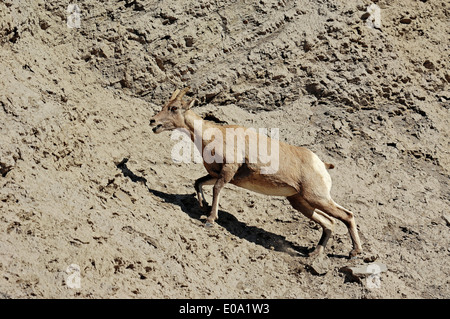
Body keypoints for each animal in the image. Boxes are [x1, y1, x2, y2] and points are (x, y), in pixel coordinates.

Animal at [150, 87, 362, 258]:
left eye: (174, 108)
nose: (153, 121)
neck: (213, 136)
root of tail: (321, 165)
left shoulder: (228, 171)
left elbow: (216, 189)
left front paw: (210, 220)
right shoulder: (216, 174)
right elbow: (198, 182)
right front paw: (203, 206)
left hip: (317, 197)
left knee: (347, 215)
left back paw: (354, 252)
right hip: (300, 202)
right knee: (329, 222)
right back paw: (315, 253)